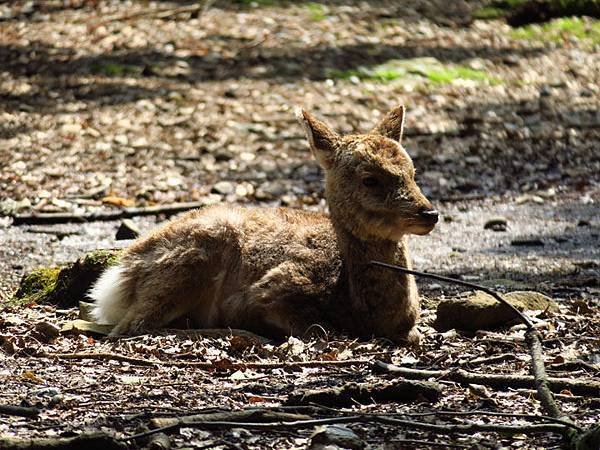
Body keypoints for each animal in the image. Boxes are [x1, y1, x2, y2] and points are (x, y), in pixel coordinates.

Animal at [88, 105, 436, 344]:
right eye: (370, 179)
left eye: (413, 172)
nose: (429, 214)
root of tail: (117, 275)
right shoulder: (270, 291)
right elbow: (315, 329)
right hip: (189, 261)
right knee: (129, 327)